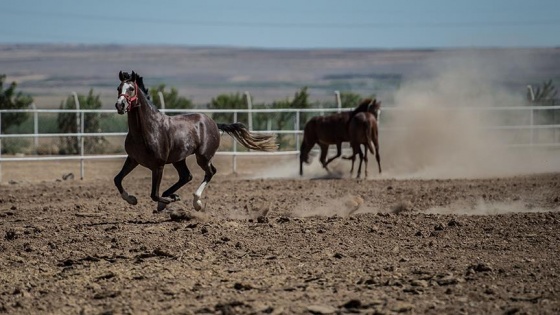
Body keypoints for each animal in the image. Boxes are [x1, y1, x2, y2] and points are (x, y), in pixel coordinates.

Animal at [113, 70, 276, 211]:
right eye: (118, 88)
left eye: (131, 88)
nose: (120, 105)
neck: (146, 130)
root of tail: (214, 123)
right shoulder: (133, 159)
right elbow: (117, 179)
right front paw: (132, 199)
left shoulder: (158, 165)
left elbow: (154, 194)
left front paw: (169, 200)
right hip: (178, 159)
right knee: (186, 176)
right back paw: (172, 196)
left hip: (202, 157)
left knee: (210, 172)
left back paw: (196, 202)